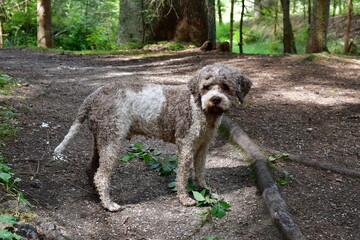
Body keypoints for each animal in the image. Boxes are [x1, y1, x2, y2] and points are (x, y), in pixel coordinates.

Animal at [54, 62, 253, 211]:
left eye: (226, 87)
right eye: (206, 87)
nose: (215, 99)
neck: (200, 108)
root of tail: (93, 95)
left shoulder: (203, 146)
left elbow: (200, 171)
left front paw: (203, 190)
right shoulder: (186, 145)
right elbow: (182, 176)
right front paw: (184, 199)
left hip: (101, 139)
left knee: (92, 170)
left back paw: (98, 196)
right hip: (112, 141)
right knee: (101, 176)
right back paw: (109, 204)